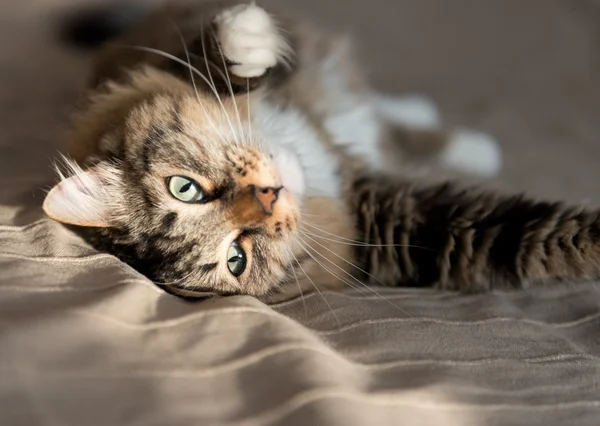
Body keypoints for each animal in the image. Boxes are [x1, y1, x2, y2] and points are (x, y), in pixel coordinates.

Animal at [43, 0, 600, 302]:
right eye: (237, 258)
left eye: (185, 189)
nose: (267, 197)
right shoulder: (406, 227)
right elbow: (542, 234)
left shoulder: (165, 57)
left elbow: (215, 56)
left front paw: (245, 42)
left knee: (385, 110)